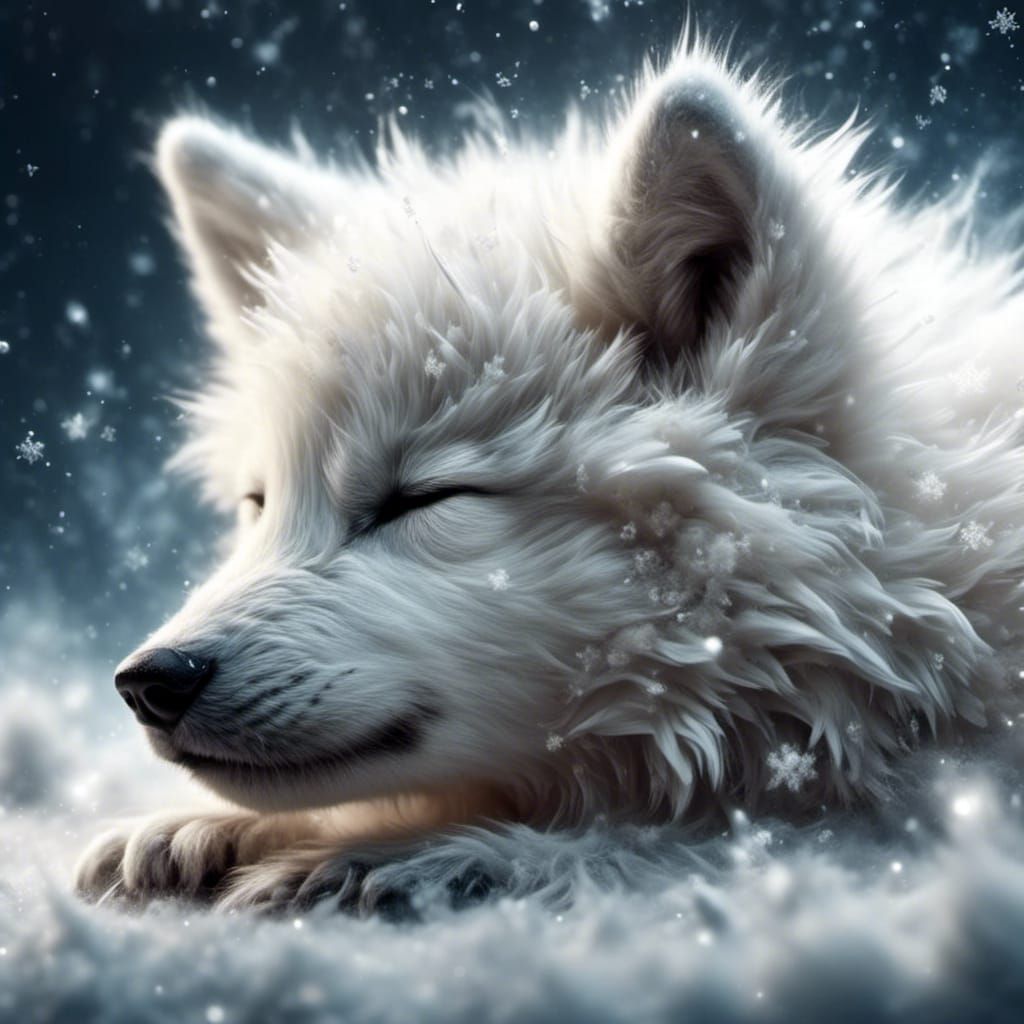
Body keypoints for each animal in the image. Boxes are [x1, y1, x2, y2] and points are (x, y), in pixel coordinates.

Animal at [76, 37, 1024, 914]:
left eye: (424, 498)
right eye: (258, 503)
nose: (148, 682)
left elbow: (736, 841)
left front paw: (441, 853)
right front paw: (204, 830)